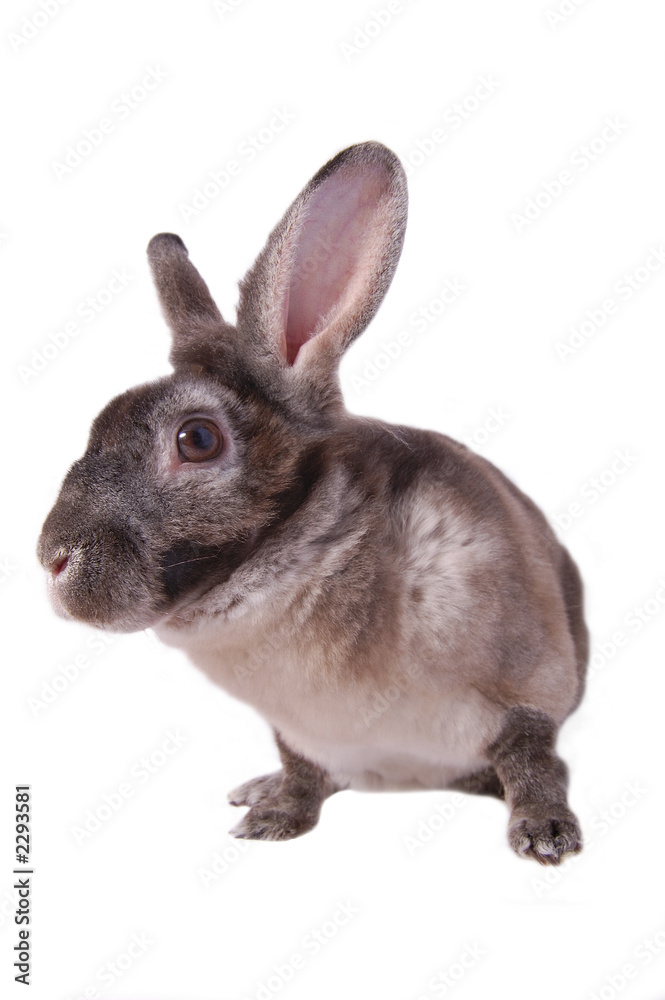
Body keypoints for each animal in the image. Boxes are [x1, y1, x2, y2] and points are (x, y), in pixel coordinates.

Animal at [38, 140, 588, 864]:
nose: (51, 558)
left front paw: (545, 835)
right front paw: (272, 817)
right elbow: (300, 769)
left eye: (196, 439)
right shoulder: (296, 732)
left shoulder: (526, 689)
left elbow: (533, 758)